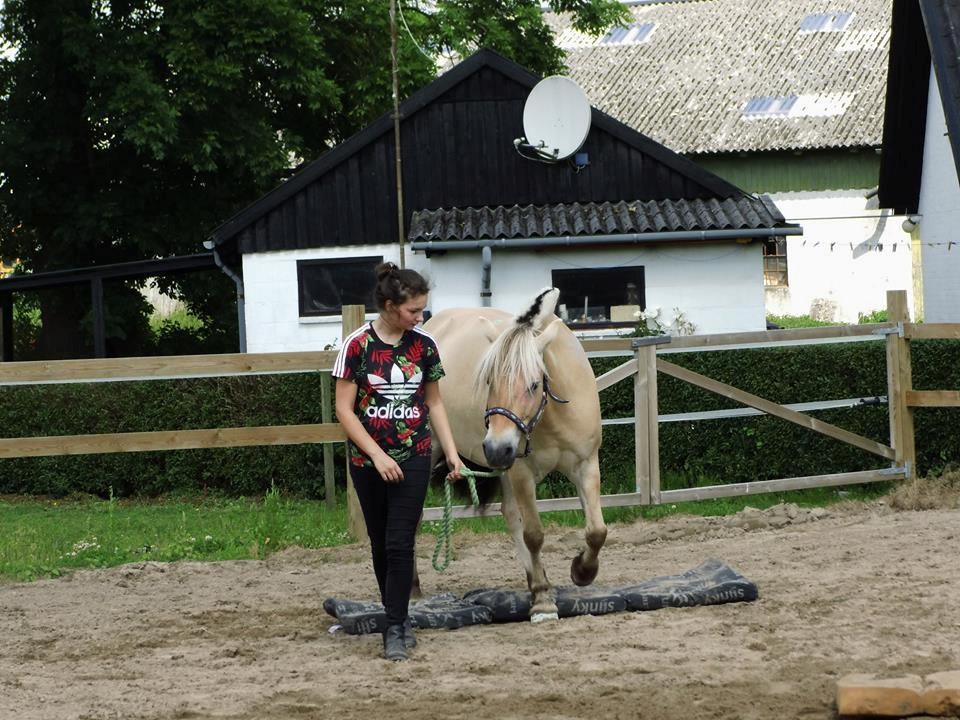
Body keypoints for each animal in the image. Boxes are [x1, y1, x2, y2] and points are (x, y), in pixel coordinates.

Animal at [418, 290, 604, 620]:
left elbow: (596, 531)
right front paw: (543, 599)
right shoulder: (520, 472)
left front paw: (582, 571)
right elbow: (534, 534)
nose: (495, 447)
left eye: (533, 384)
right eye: (489, 380)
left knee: (509, 513)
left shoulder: (586, 464)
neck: (550, 418)